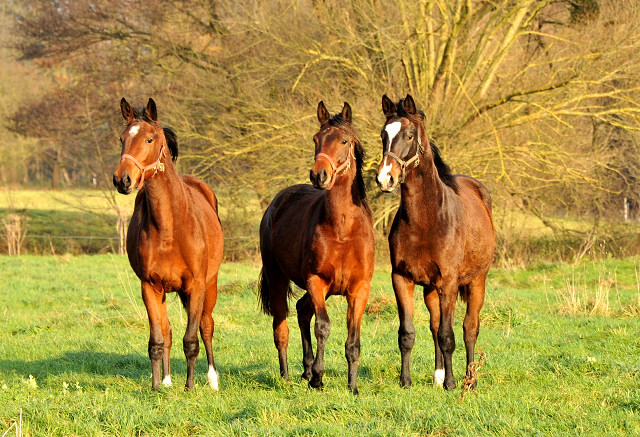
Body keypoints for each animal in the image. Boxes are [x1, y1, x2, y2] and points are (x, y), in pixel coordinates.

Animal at [112, 97, 225, 390]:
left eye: (149, 139)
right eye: (121, 139)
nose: (122, 179)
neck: (169, 228)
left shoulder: (196, 285)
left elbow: (192, 340)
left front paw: (190, 386)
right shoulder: (150, 287)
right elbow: (158, 340)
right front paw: (155, 386)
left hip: (210, 284)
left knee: (206, 326)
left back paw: (212, 378)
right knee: (168, 331)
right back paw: (166, 380)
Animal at [258, 100, 376, 394]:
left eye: (344, 141)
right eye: (316, 139)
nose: (319, 175)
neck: (342, 229)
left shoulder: (359, 289)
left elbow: (353, 341)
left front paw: (352, 387)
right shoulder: (316, 281)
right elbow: (323, 327)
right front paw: (319, 379)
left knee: (302, 311)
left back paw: (306, 370)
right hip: (278, 278)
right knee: (282, 326)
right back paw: (288, 376)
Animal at [378, 94, 492, 388]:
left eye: (409, 135)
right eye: (383, 134)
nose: (385, 178)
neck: (427, 221)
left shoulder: (449, 284)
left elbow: (448, 336)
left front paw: (452, 384)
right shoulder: (402, 279)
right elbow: (408, 333)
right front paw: (405, 381)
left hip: (477, 281)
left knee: (469, 328)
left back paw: (469, 379)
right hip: (430, 289)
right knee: (434, 325)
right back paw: (438, 375)